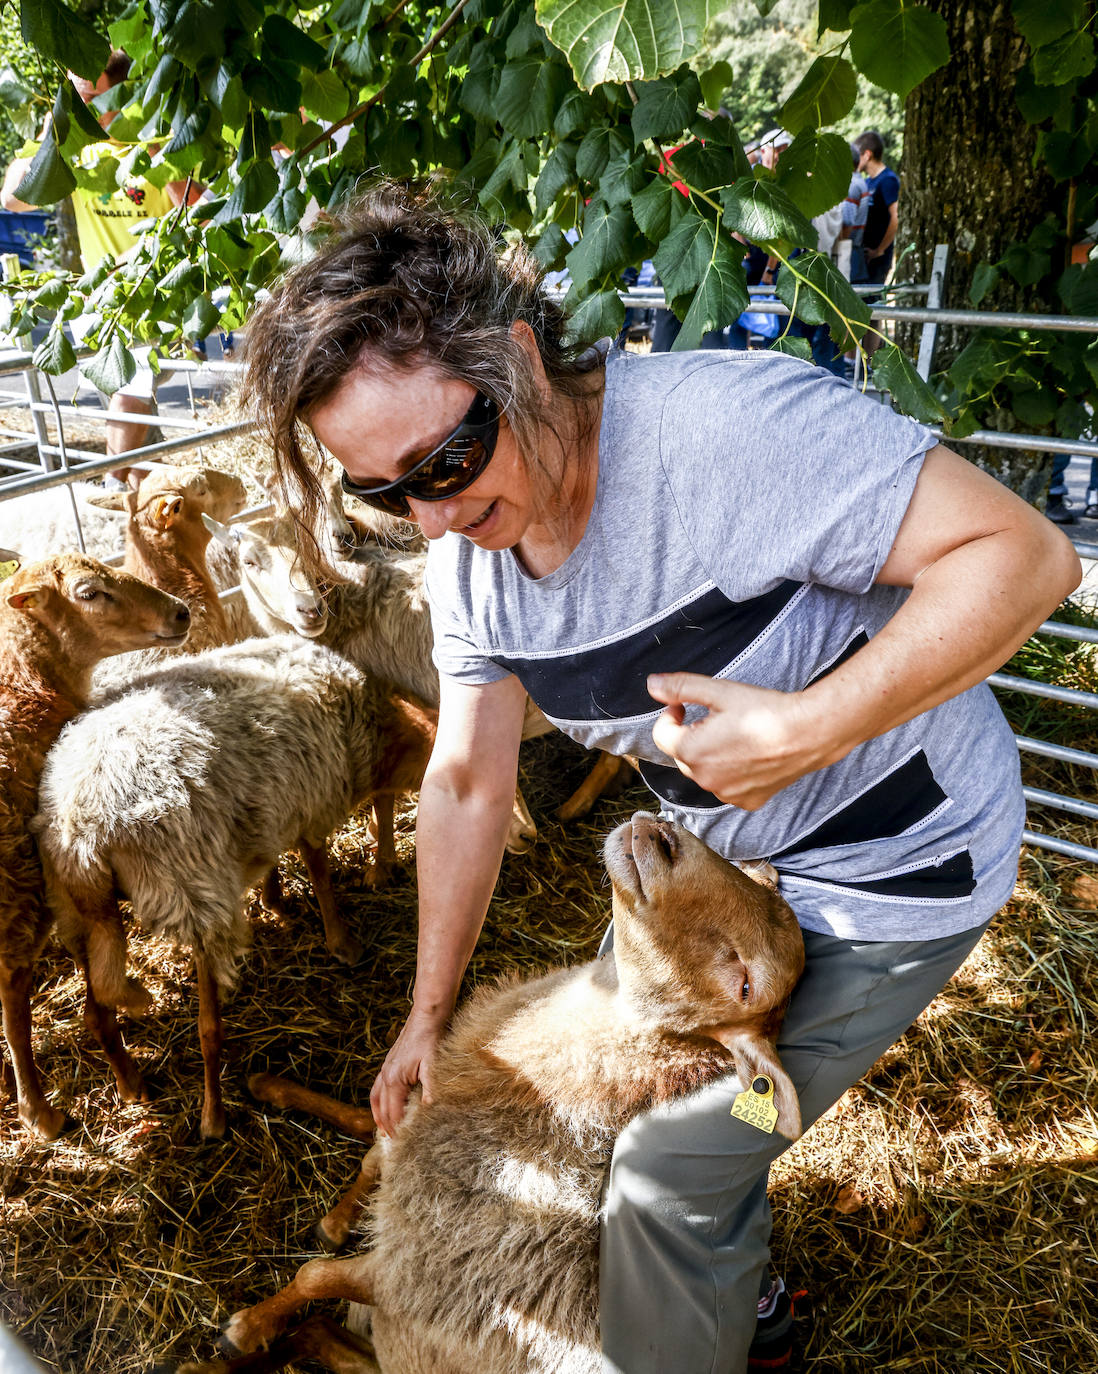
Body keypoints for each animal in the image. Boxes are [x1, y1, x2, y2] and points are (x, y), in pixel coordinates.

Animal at [0, 546, 189, 1137]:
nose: (180, 612)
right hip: (15, 902)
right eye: (89, 592)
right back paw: (38, 1109)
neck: (26, 686)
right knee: (15, 1002)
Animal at [34, 632, 437, 1137]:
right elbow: (319, 870)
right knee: (206, 1028)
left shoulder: (274, 805)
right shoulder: (312, 796)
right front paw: (341, 940)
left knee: (97, 1007)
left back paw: (131, 1084)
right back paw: (212, 1114)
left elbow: (277, 860)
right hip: (192, 889)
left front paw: (275, 898)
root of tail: (81, 826)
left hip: (76, 909)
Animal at [173, 813, 808, 1374]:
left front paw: (245, 1327)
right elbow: (375, 1139)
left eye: (745, 984)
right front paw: (288, 1113)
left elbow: (314, 1275)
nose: (661, 834)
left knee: (321, 1331)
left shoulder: (416, 1269)